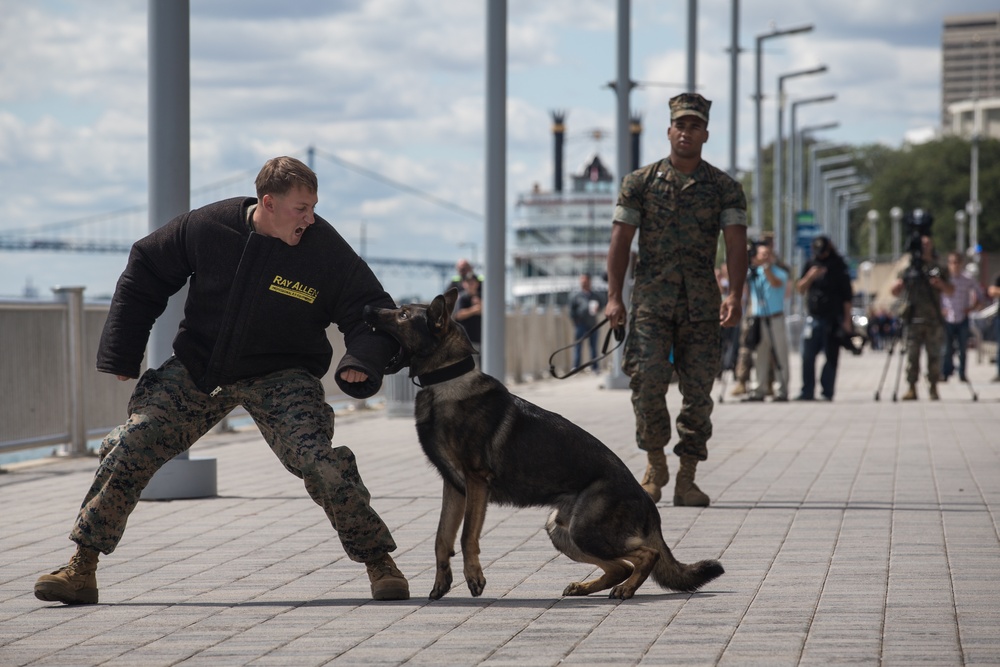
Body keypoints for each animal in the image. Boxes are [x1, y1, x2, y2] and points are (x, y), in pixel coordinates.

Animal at [364, 290, 724, 604]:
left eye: (403, 314)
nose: (369, 309)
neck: (446, 380)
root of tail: (648, 501)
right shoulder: (453, 487)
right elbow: (442, 537)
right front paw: (441, 584)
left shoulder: (475, 482)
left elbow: (466, 536)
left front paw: (474, 577)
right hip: (563, 530)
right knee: (621, 566)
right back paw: (586, 587)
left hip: (586, 530)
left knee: (646, 554)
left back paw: (625, 589)